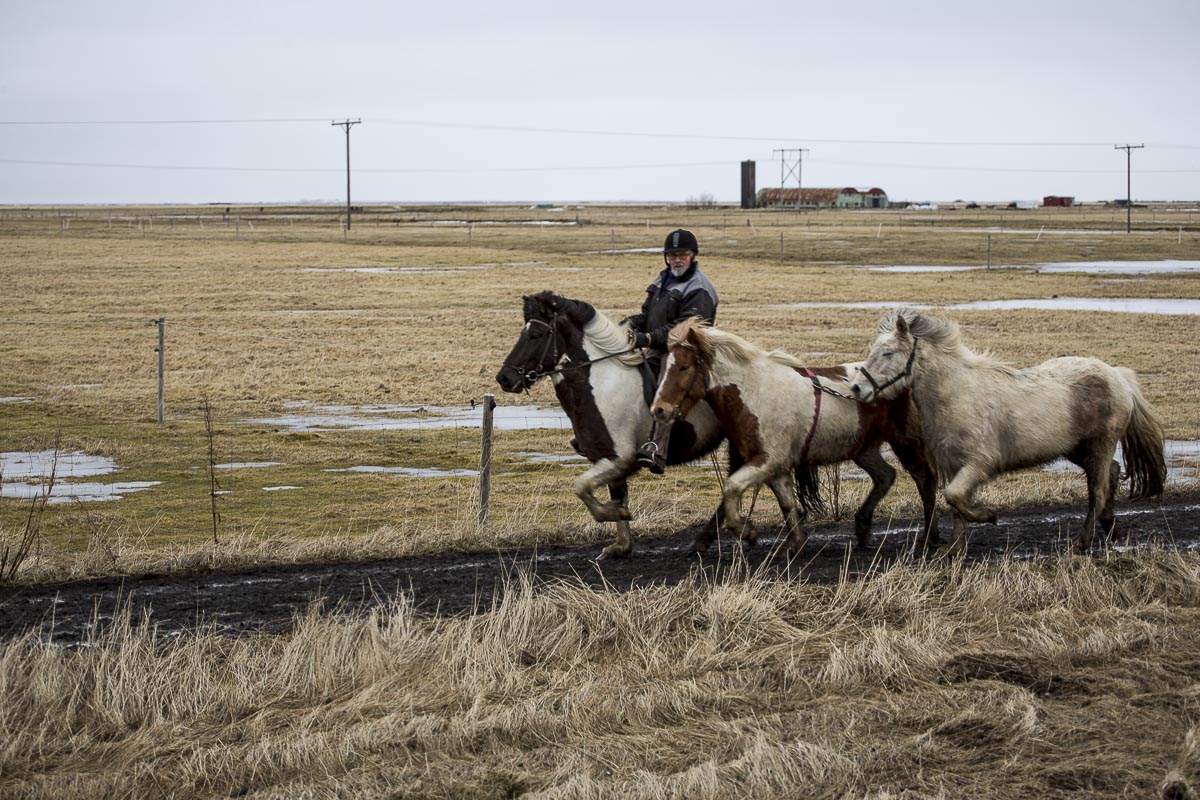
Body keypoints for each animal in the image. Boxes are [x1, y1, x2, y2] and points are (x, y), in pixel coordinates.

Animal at [650, 318, 939, 556]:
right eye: (664, 367)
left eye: (684, 367)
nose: (659, 410)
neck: (755, 391)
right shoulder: (775, 466)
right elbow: (787, 503)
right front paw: (793, 543)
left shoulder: (768, 459)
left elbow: (732, 486)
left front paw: (748, 533)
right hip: (863, 448)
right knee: (886, 476)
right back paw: (862, 527)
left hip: (906, 441)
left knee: (925, 481)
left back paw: (930, 537)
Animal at [847, 308, 1167, 555]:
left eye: (887, 353)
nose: (857, 389)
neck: (958, 394)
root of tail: (1118, 375)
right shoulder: (954, 466)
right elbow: (955, 505)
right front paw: (955, 550)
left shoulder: (978, 464)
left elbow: (955, 497)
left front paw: (987, 516)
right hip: (1079, 449)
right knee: (1112, 473)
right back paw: (1111, 529)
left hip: (1100, 445)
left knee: (1097, 492)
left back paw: (1082, 542)